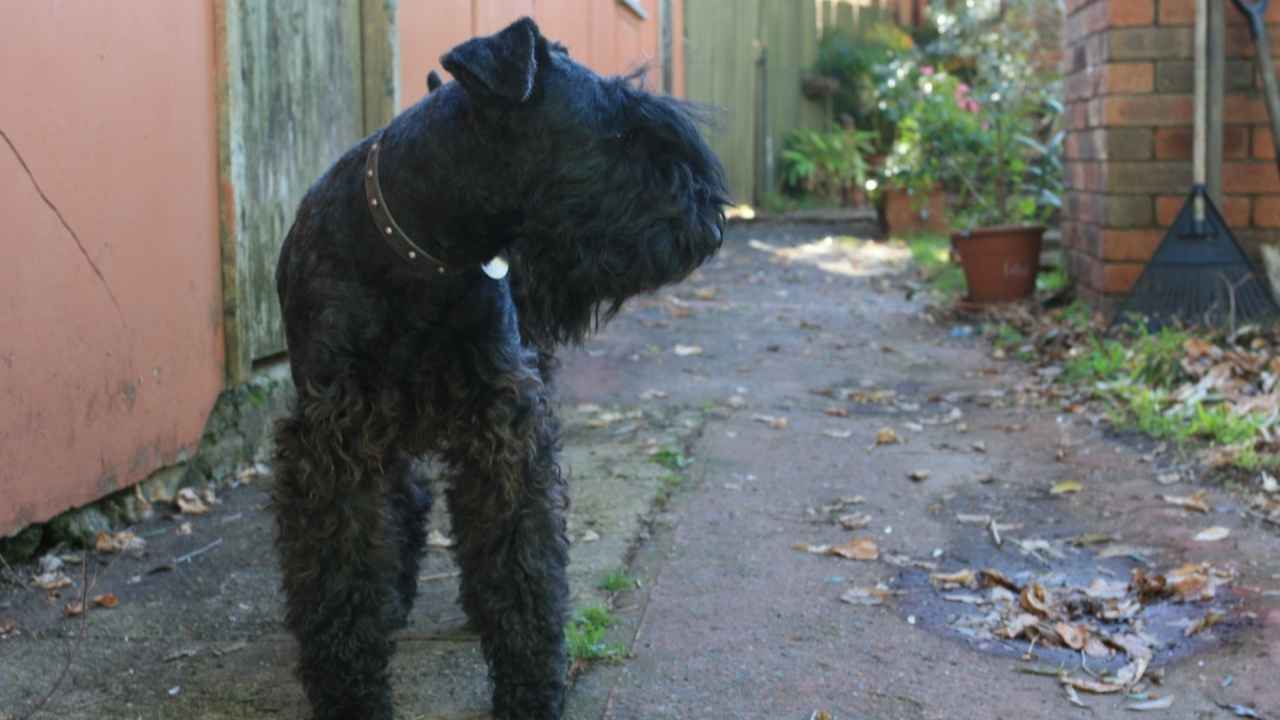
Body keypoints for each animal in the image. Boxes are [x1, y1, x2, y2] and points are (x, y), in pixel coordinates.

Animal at [271, 18, 727, 717]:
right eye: (620, 131)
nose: (708, 216)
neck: (419, 253)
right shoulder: (334, 441)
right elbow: (339, 574)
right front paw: (351, 695)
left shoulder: (504, 428)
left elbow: (521, 559)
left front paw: (530, 686)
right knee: (404, 496)